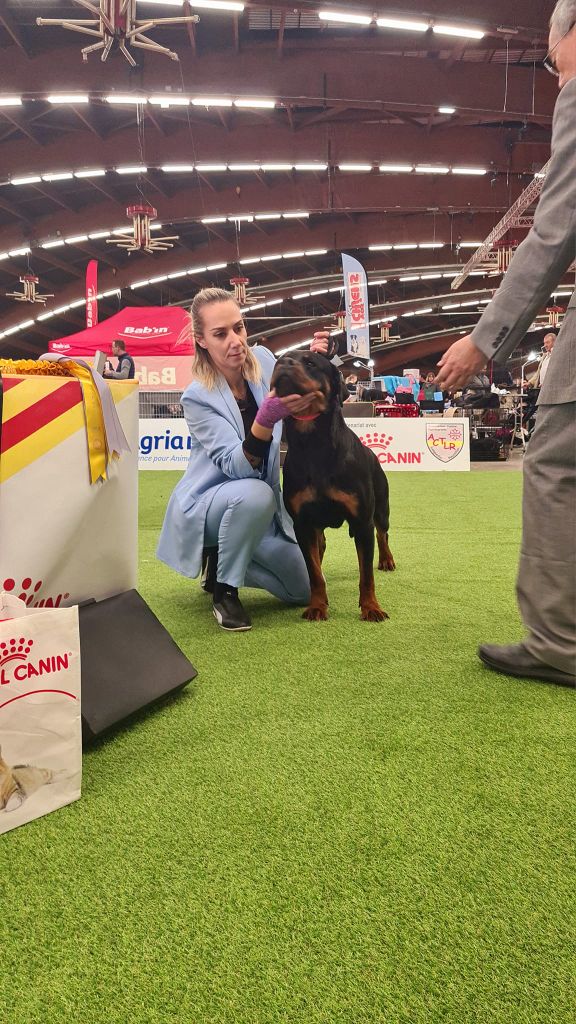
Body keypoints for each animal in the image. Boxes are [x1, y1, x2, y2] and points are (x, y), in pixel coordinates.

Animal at [271, 351, 395, 621]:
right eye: (279, 361)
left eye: (310, 362)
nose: (283, 362)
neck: (313, 445)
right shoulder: (303, 523)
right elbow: (313, 572)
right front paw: (317, 605)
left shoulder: (362, 521)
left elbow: (366, 575)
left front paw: (371, 607)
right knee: (321, 547)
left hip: (381, 506)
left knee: (383, 533)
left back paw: (387, 560)